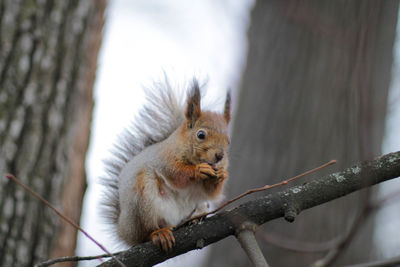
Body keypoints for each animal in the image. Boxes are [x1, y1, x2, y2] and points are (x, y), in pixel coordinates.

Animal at [101, 78, 231, 253]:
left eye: (228, 141)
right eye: (201, 135)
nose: (219, 156)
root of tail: (124, 232)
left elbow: (210, 192)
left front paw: (222, 175)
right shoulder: (164, 159)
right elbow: (176, 174)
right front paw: (199, 170)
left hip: (199, 206)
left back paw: (195, 219)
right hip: (141, 201)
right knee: (145, 233)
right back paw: (158, 233)